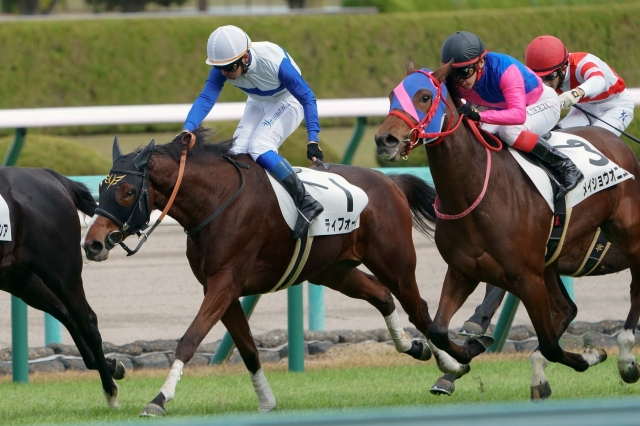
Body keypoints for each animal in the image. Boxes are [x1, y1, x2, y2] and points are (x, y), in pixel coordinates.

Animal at [0, 168, 125, 406]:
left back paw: (111, 391)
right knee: (67, 314)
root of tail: (49, 175)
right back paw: (111, 366)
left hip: (60, 271)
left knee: (87, 321)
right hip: (17, 277)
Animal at [81, 128, 470, 416]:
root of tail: (391, 183)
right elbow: (249, 350)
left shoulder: (224, 283)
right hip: (333, 271)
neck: (216, 201)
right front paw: (267, 401)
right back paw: (415, 347)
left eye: (127, 191)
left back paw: (454, 364)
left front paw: (159, 399)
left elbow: (189, 339)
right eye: (102, 186)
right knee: (383, 296)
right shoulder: (222, 289)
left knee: (419, 309)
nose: (93, 244)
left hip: (394, 261)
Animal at [374, 62, 640, 400]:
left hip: (628, 236)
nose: (385, 140)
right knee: (566, 308)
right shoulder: (464, 270)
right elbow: (439, 330)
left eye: (423, 96)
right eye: (391, 96)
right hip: (550, 260)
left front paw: (591, 356)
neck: (476, 190)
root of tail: (617, 144)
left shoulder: (525, 275)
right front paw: (458, 362)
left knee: (633, 290)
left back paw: (626, 356)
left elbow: (550, 345)